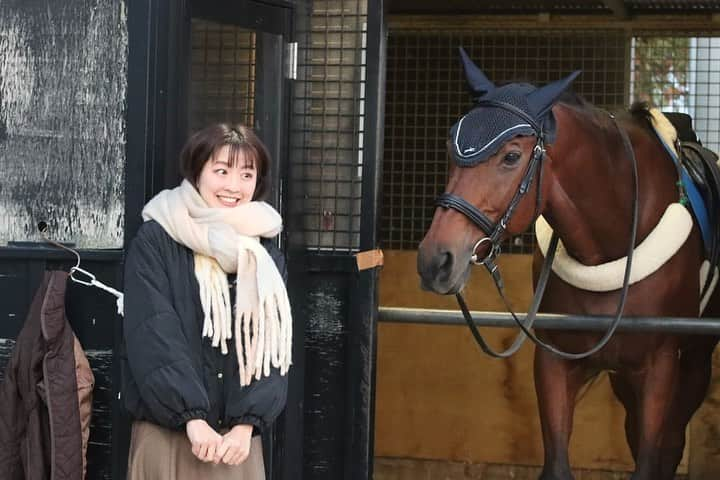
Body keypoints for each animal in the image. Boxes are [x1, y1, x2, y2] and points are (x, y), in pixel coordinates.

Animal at [416, 49, 720, 480]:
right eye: (448, 149)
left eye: (511, 156)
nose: (435, 259)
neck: (611, 242)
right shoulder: (555, 361)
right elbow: (558, 463)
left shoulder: (659, 366)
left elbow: (651, 458)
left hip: (694, 362)